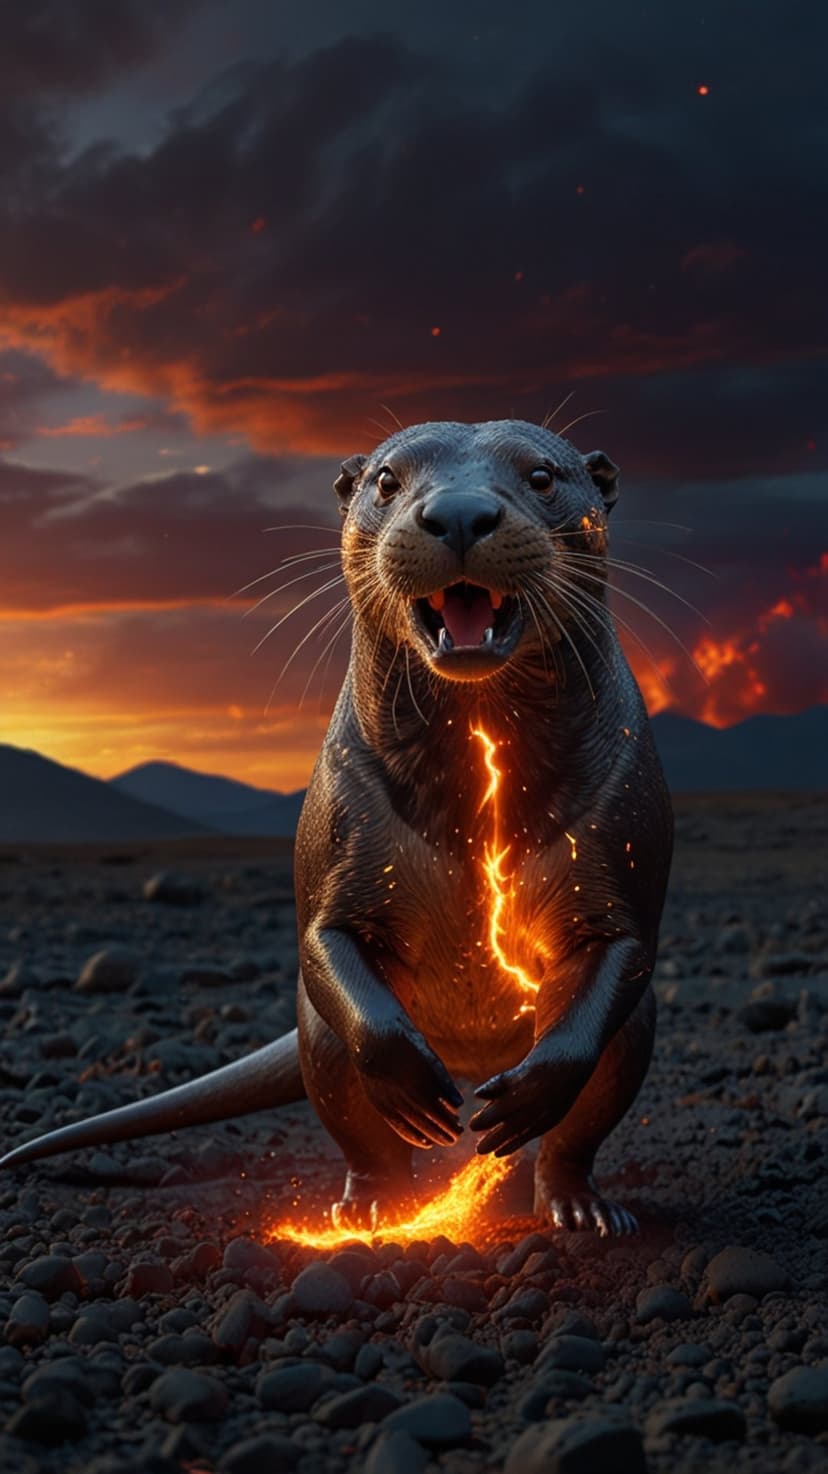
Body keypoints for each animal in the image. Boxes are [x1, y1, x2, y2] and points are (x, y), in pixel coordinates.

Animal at [0, 421, 673, 1236]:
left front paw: (528, 1097)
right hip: (318, 1040)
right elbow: (322, 940)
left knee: (583, 1122)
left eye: (542, 475)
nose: (458, 512)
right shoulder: (336, 836)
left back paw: (579, 1207)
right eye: (387, 480)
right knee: (358, 1124)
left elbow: (624, 948)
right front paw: (417, 1093)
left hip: (636, 1035)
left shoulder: (627, 836)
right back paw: (375, 1204)